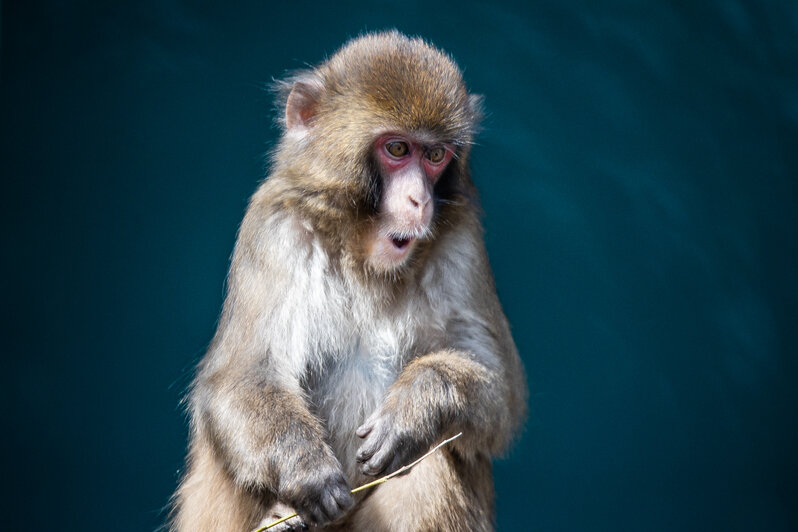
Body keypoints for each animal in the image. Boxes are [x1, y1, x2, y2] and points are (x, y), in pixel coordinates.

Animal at [172, 30, 528, 532]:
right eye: (397, 150)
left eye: (435, 155)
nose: (420, 201)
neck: (362, 257)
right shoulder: (274, 225)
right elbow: (239, 378)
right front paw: (306, 470)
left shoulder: (464, 240)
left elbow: (501, 391)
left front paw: (415, 409)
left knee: (432, 462)